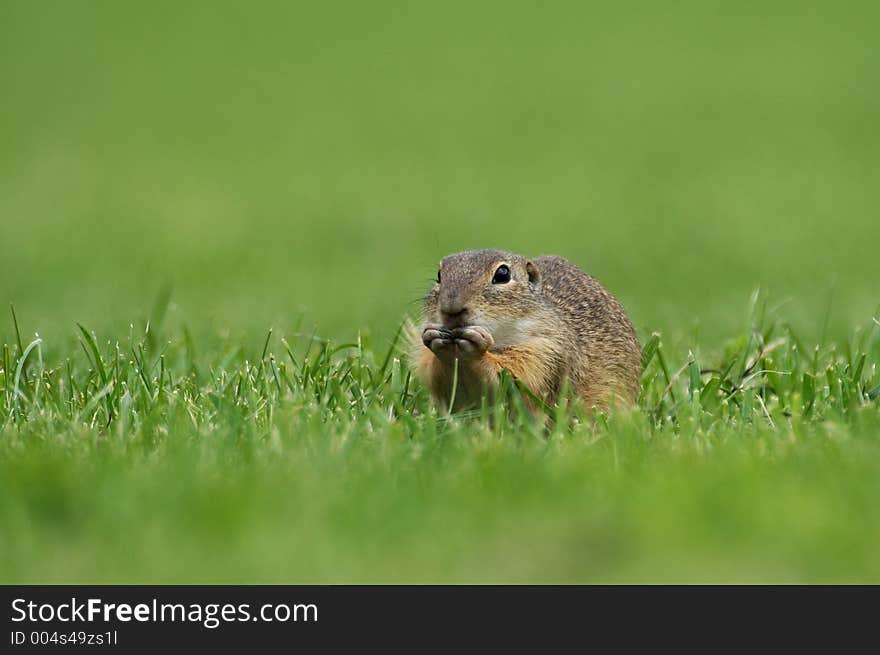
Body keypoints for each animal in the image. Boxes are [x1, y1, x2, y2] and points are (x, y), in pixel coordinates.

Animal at [412, 249, 640, 412]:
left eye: (502, 274)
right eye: (439, 275)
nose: (451, 309)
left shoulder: (548, 351)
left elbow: (516, 377)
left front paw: (477, 350)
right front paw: (434, 340)